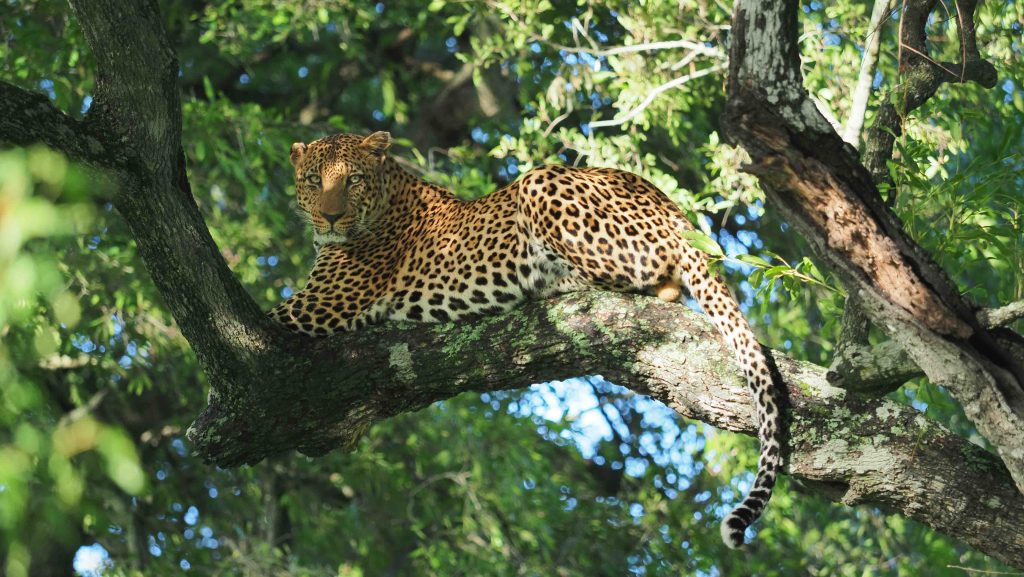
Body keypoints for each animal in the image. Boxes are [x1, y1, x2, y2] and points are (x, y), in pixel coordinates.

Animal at [270, 132, 782, 549]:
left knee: (653, 280)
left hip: (540, 182)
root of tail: (673, 209)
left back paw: (551, 281)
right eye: (313, 180)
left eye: (353, 179)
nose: (330, 217)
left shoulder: (318, 305)